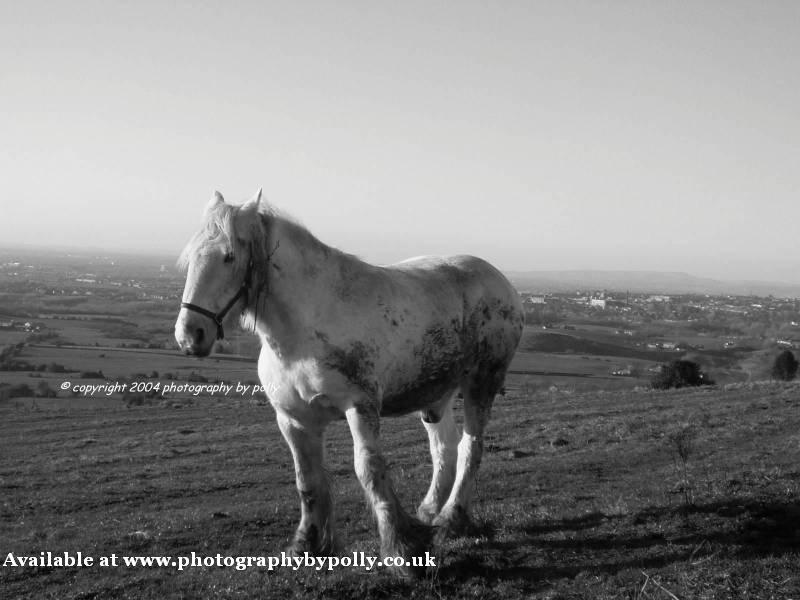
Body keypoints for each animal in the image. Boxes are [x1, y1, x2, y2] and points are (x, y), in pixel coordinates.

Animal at [175, 191, 524, 576]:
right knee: (443, 449)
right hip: (436, 397)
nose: (190, 335)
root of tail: (500, 279)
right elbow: (307, 479)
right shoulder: (294, 420)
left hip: (481, 384)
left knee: (469, 448)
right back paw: (429, 512)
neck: (303, 330)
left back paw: (451, 517)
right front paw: (308, 544)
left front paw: (401, 550)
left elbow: (368, 470)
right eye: (191, 258)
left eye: (229, 256)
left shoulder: (360, 407)